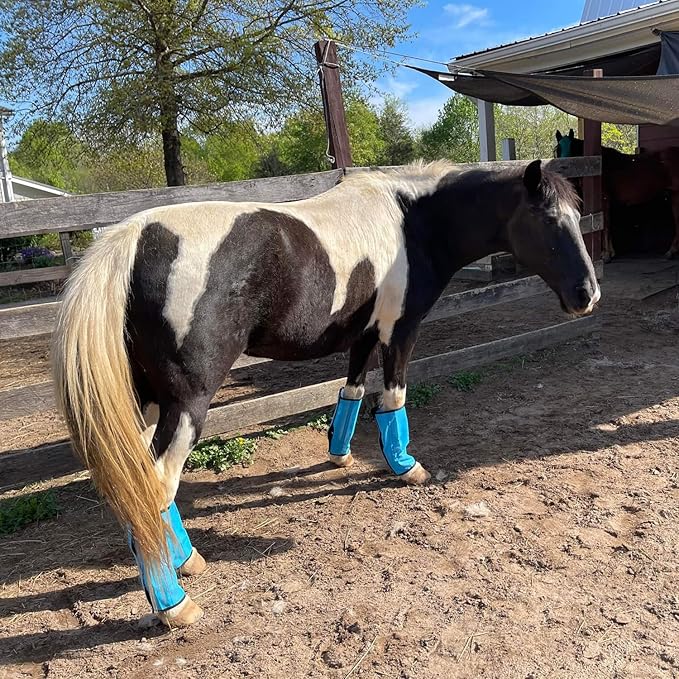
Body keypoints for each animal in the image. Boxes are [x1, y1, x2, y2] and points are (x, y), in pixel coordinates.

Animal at [52, 159, 600, 628]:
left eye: (577, 217)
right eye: (549, 219)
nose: (588, 295)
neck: (413, 221)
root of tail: (130, 240)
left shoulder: (362, 335)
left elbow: (352, 392)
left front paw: (340, 457)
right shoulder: (399, 332)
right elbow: (393, 398)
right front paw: (406, 467)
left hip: (146, 398)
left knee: (140, 484)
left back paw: (183, 559)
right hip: (187, 403)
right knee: (158, 480)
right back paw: (174, 605)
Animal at [555, 128, 679, 259]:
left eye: (572, 148)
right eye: (558, 149)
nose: (565, 175)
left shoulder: (604, 199)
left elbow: (605, 224)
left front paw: (606, 254)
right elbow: (608, 224)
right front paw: (611, 252)